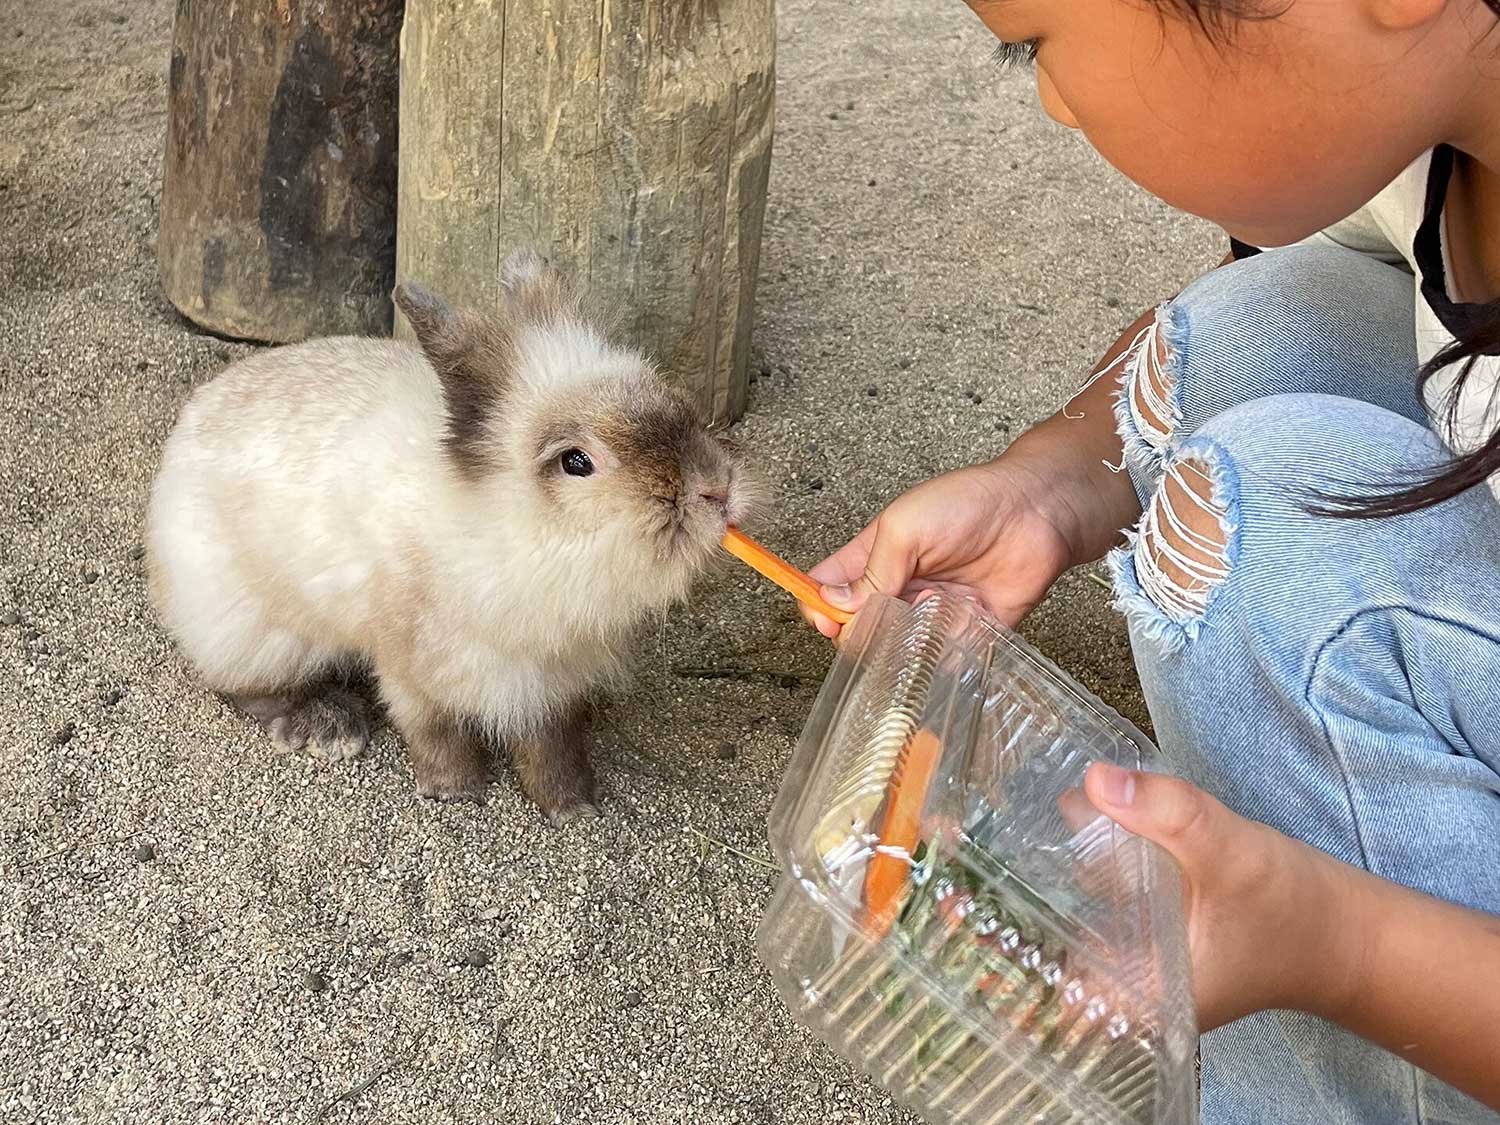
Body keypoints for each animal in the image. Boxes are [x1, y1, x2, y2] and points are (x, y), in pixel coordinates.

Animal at [149, 250, 750, 822]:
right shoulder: (412, 667)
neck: (521, 536)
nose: (715, 489)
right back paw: (329, 726)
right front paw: (455, 791)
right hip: (262, 632)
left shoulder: (554, 683)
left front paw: (572, 807)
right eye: (576, 462)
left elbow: (551, 747)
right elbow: (436, 732)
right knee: (245, 686)